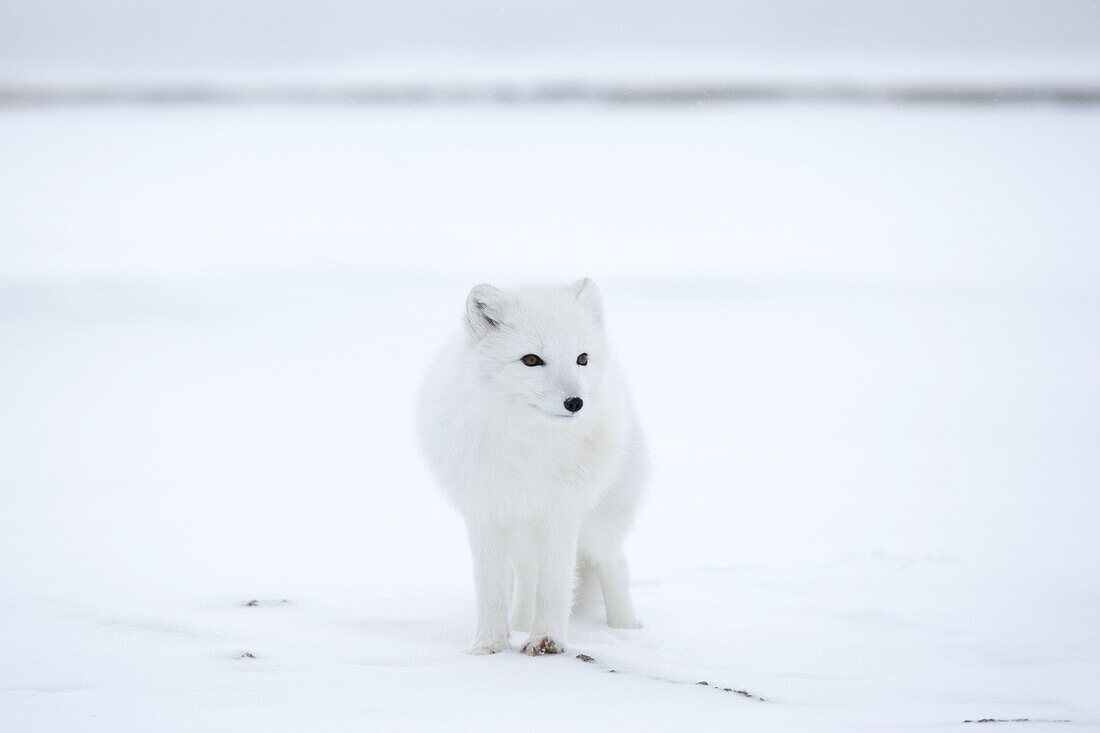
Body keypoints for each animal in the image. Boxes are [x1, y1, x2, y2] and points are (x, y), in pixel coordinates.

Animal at [418, 277, 642, 651]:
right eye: (531, 360)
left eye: (582, 358)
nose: (575, 402)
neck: (529, 443)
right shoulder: (485, 512)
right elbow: (490, 586)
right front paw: (490, 644)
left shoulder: (561, 512)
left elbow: (554, 584)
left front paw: (547, 639)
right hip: (523, 538)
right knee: (526, 579)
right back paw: (521, 624)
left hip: (598, 527)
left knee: (615, 564)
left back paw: (626, 631)